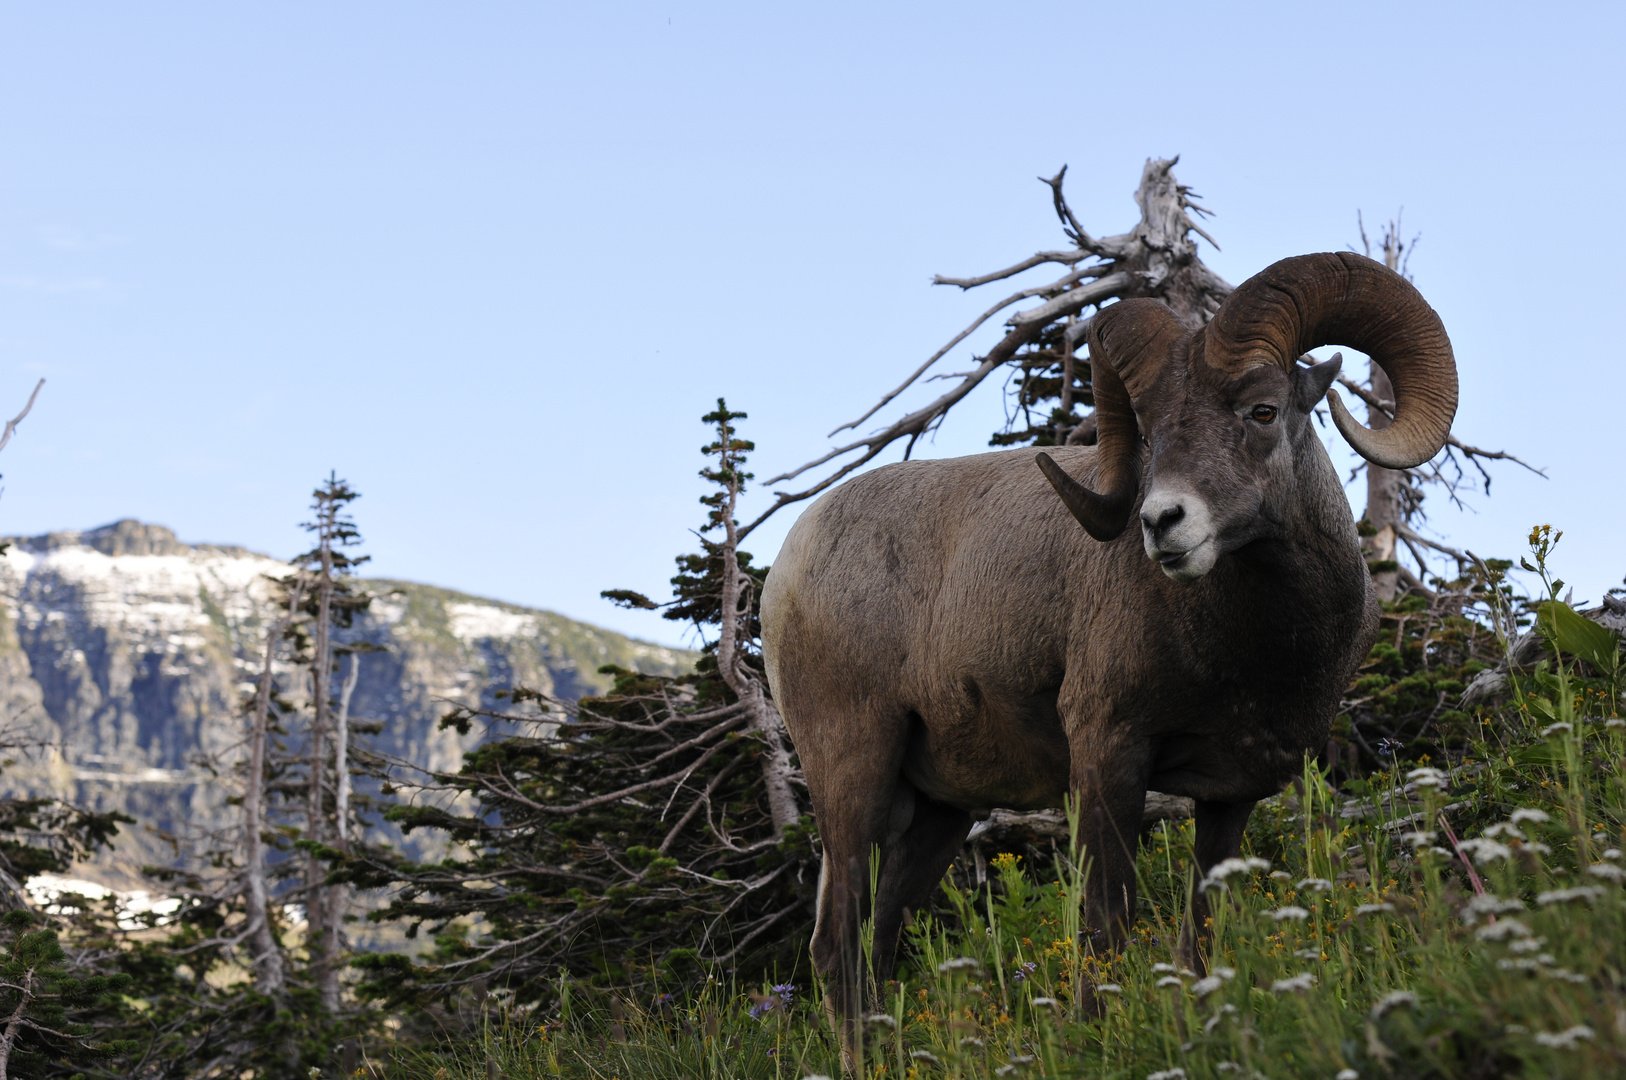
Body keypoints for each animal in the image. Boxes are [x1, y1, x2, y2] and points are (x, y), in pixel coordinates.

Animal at [760, 250, 1463, 1027]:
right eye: (1150, 431)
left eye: (1263, 410)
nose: (1162, 523)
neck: (1257, 652)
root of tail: (788, 564)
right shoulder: (1108, 754)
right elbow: (1104, 932)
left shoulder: (1230, 796)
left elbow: (1199, 938)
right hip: (853, 770)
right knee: (838, 948)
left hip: (937, 814)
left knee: (878, 944)